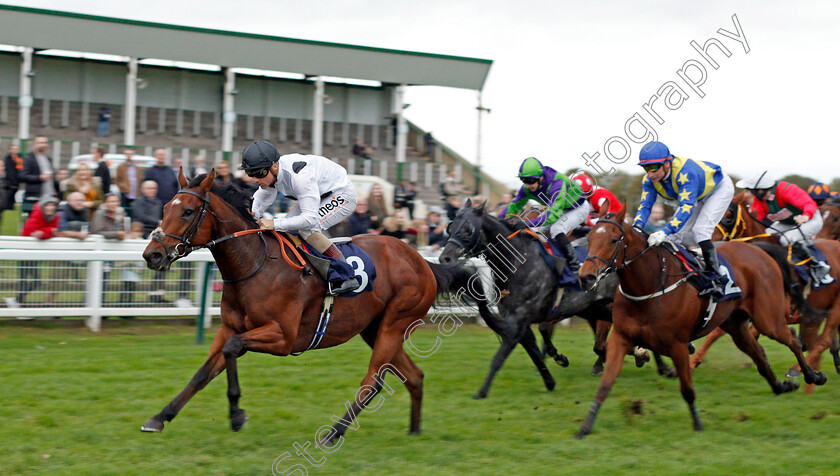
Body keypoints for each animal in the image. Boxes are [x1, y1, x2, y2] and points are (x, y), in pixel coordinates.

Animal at [139, 169, 492, 440]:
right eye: (166, 207)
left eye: (187, 212)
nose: (152, 255)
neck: (254, 264)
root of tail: (422, 262)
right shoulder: (228, 328)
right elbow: (202, 373)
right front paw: (159, 417)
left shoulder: (282, 337)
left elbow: (233, 349)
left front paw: (237, 414)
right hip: (375, 328)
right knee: (414, 376)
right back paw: (414, 431)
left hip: (395, 322)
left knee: (373, 381)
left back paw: (334, 432)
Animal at [440, 201, 616, 398]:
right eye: (451, 227)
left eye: (467, 230)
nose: (445, 257)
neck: (517, 263)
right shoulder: (520, 322)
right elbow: (535, 354)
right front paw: (551, 379)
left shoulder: (519, 320)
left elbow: (499, 357)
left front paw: (481, 392)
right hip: (591, 306)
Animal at [576, 205, 828, 438]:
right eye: (590, 238)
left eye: (613, 240)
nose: (585, 276)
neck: (649, 285)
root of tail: (758, 249)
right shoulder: (621, 338)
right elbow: (605, 384)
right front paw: (585, 427)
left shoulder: (677, 344)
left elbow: (687, 388)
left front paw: (697, 423)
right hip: (735, 325)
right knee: (759, 354)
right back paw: (781, 387)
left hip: (768, 319)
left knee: (792, 340)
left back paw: (812, 376)